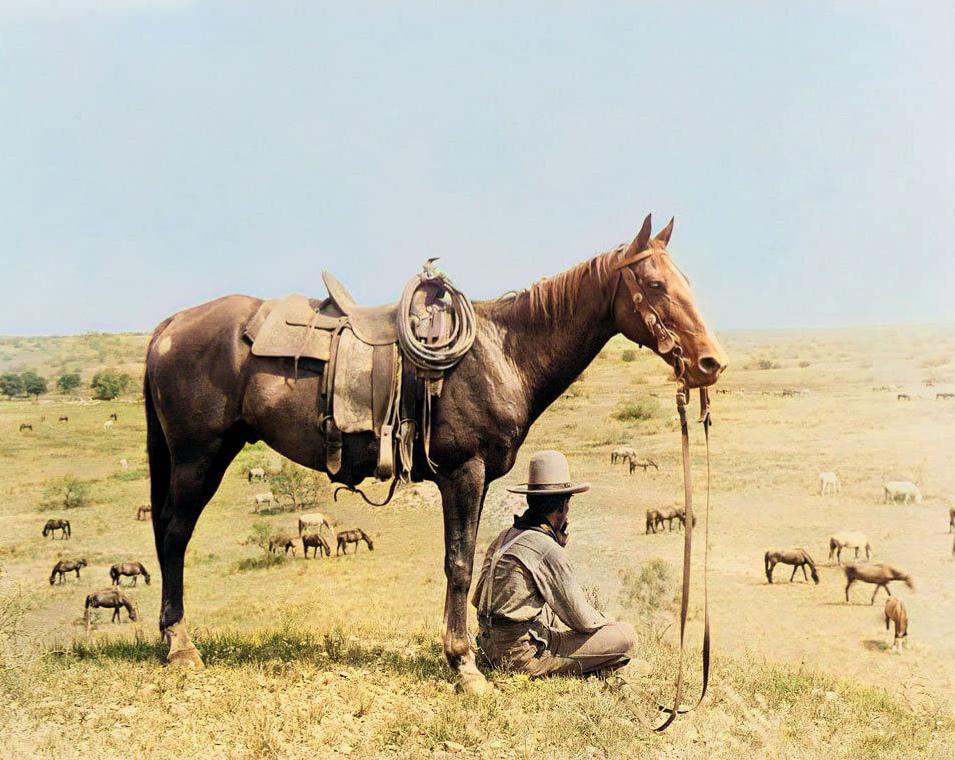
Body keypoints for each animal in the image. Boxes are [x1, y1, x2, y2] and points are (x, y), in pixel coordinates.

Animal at [142, 214, 727, 690]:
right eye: (655, 284)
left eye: (688, 282)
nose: (709, 362)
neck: (502, 352)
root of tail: (169, 326)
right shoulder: (463, 472)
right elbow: (460, 564)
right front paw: (464, 665)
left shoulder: (479, 476)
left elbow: (469, 560)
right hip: (199, 457)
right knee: (174, 534)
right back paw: (181, 645)